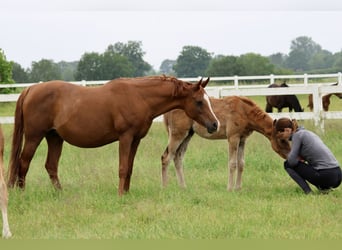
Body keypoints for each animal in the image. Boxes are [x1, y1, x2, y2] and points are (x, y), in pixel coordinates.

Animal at [8, 75, 219, 196]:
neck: (139, 97)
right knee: (23, 163)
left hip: (54, 138)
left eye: (207, 99)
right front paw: (120, 195)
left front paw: (126, 193)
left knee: (51, 166)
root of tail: (30, 89)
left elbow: (130, 168)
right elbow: (123, 168)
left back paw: (61, 194)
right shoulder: (125, 138)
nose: (215, 124)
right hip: (34, 137)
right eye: (199, 101)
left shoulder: (135, 140)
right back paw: (22, 193)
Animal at [162, 96, 290, 190]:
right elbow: (232, 163)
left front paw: (238, 188)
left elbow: (241, 163)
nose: (289, 155)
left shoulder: (242, 139)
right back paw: (165, 187)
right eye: (282, 140)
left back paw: (183, 187)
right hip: (178, 134)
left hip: (188, 135)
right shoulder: (233, 138)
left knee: (177, 158)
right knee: (166, 157)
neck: (244, 111)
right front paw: (229, 188)